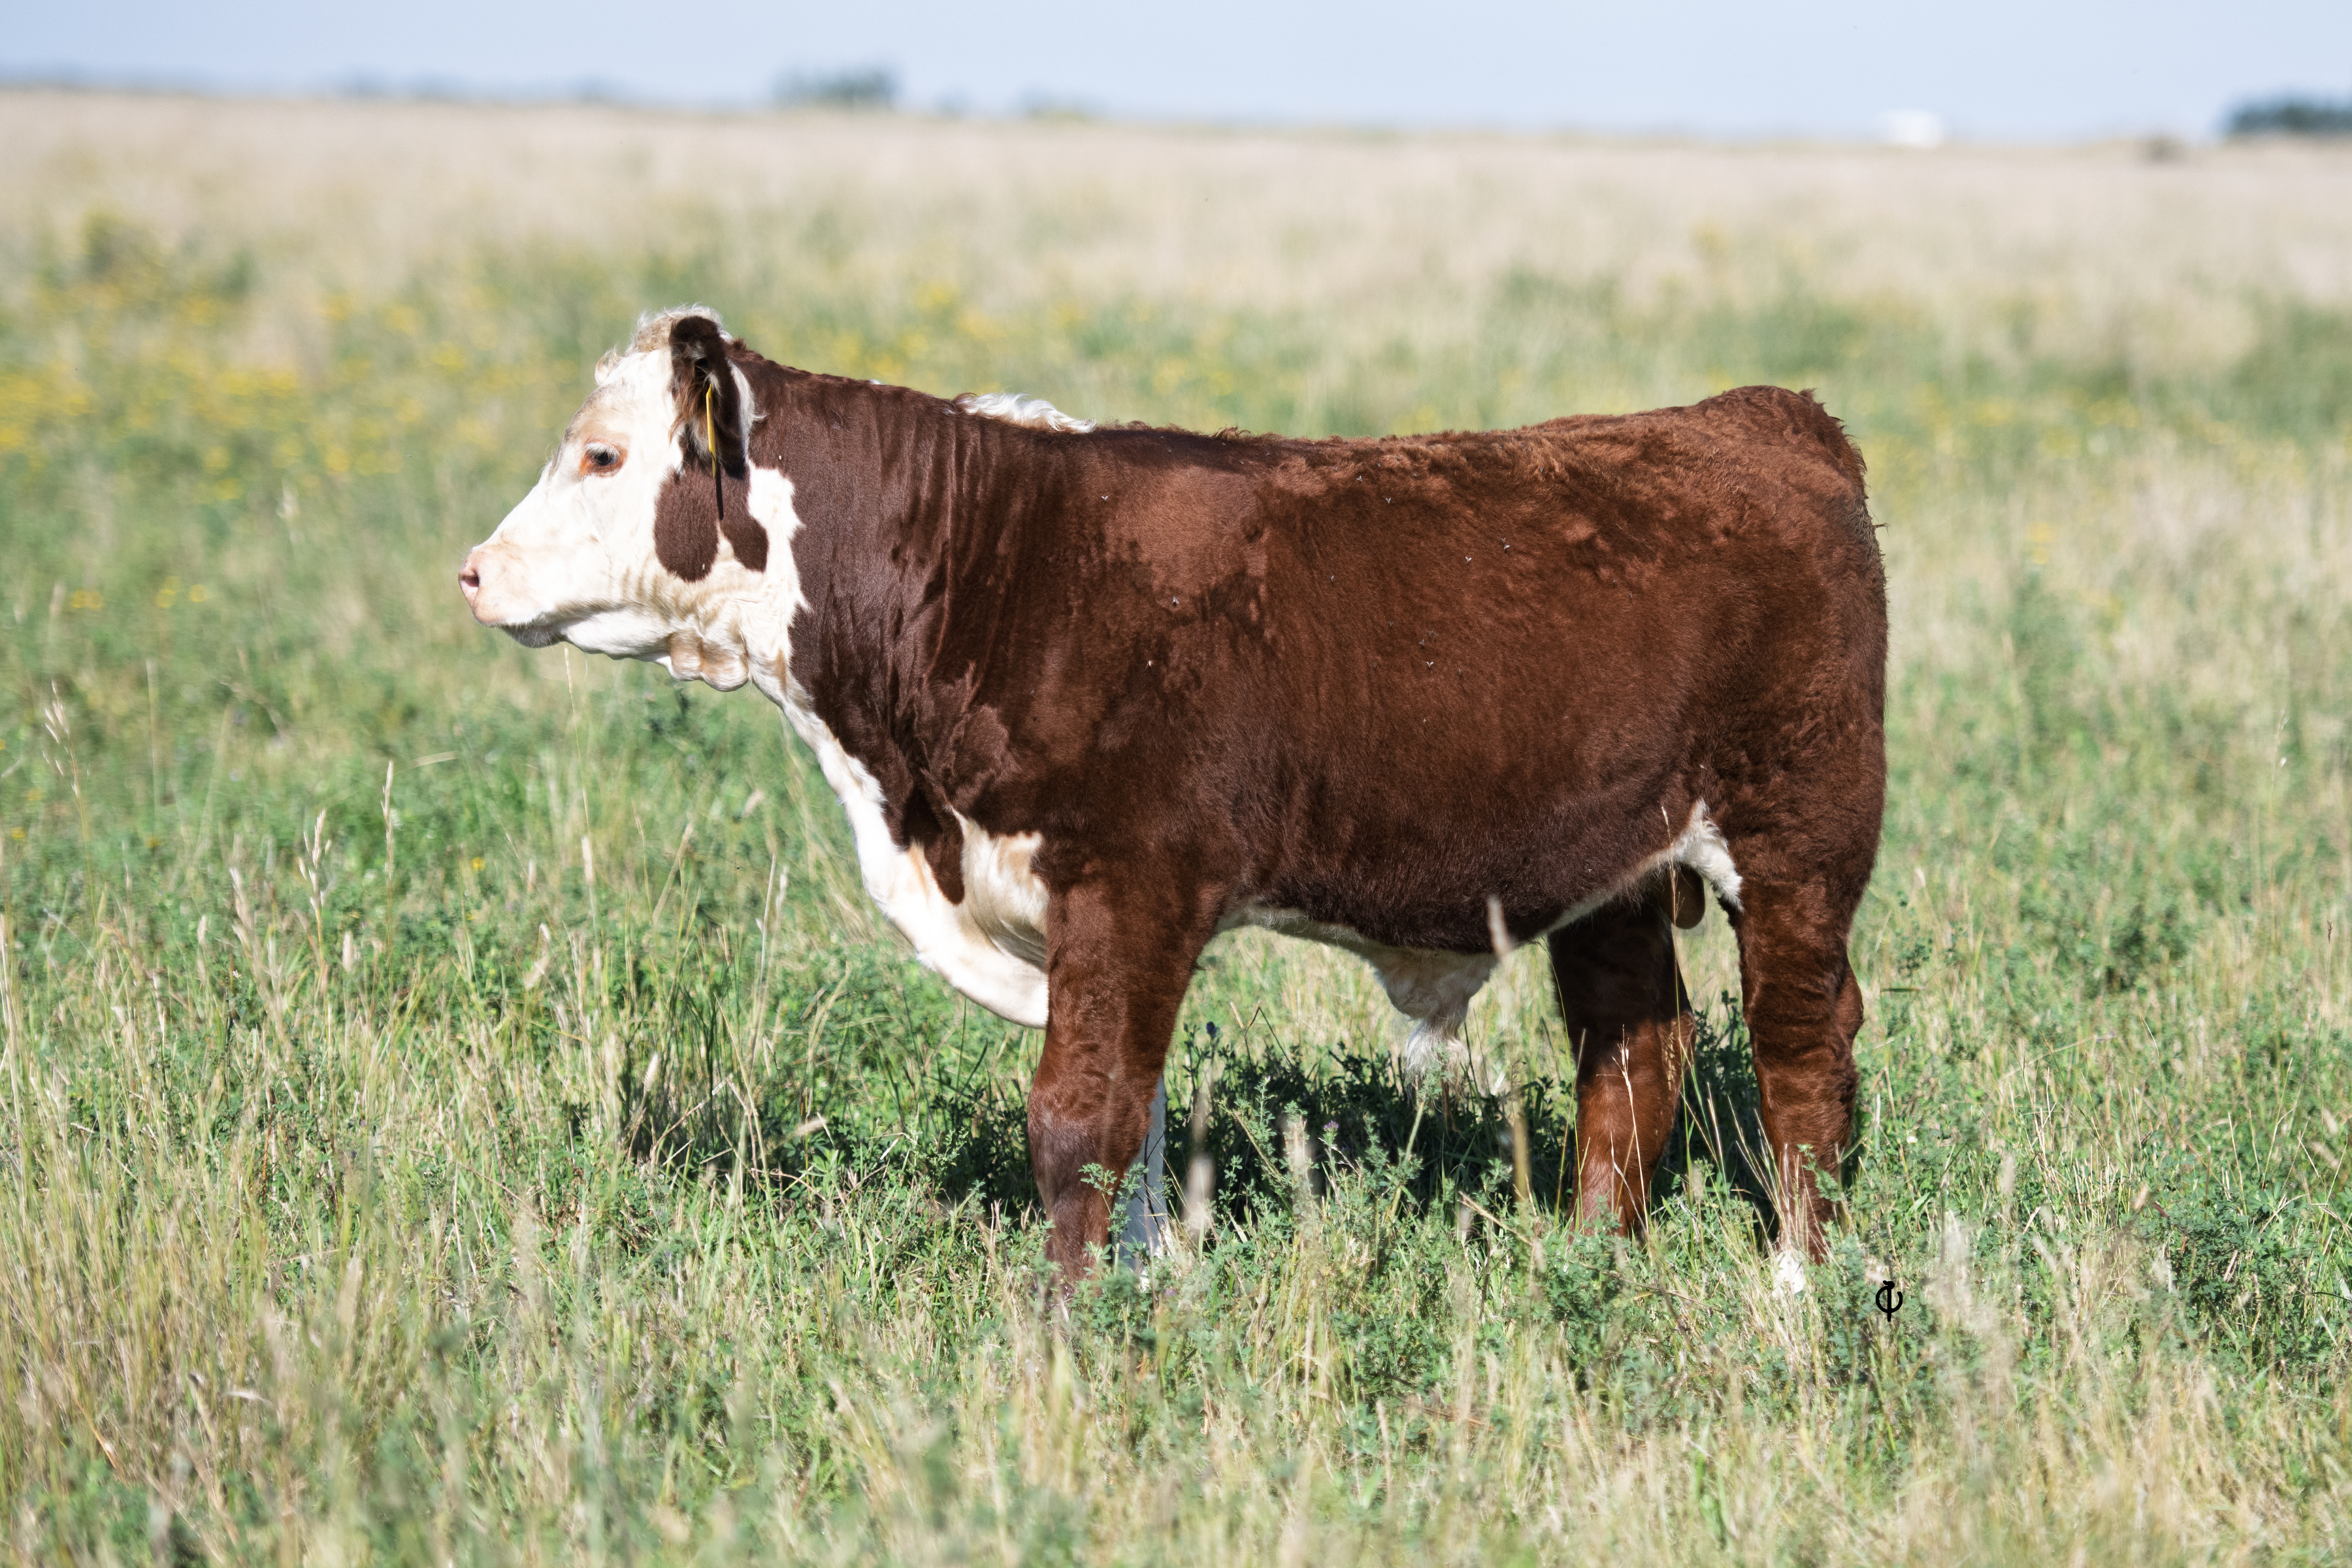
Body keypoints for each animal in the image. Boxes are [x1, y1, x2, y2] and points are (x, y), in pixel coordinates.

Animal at [460, 306, 1886, 1283]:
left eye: (602, 456)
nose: (472, 572)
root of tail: (1756, 415)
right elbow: (1132, 1108)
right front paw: (1143, 1282)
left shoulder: (1131, 880)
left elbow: (1078, 1112)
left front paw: (1065, 1328)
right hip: (1618, 872)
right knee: (1634, 1052)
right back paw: (1584, 1264)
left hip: (1798, 839)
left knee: (1802, 1055)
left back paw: (1801, 1288)